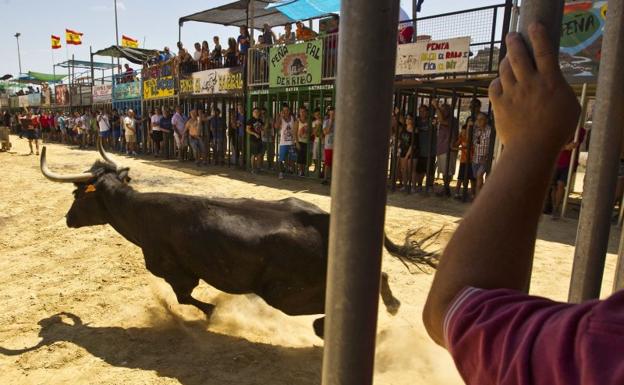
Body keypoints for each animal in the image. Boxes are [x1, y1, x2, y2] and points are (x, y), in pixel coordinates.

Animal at [40, 142, 434, 336]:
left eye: (77, 194)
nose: (68, 219)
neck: (139, 211)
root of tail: (325, 221)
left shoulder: (174, 271)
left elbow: (184, 297)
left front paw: (212, 313)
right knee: (381, 275)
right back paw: (393, 306)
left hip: (284, 294)